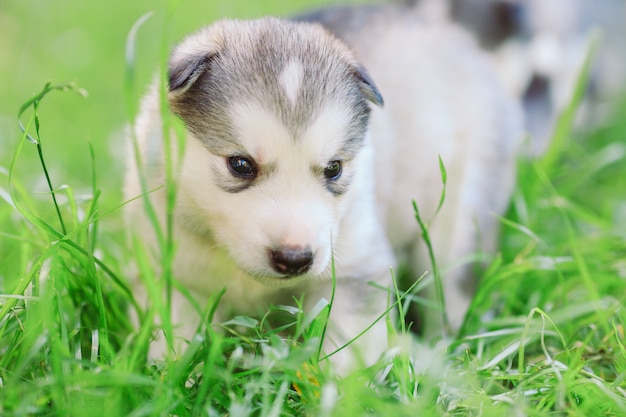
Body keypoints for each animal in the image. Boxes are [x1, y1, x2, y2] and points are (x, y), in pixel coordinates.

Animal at [124, 3, 520, 368]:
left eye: (334, 168)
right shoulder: (170, 273)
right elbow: (173, 341)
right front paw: (171, 379)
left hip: (462, 212)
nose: (295, 259)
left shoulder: (358, 268)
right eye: (240, 165)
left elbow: (346, 354)